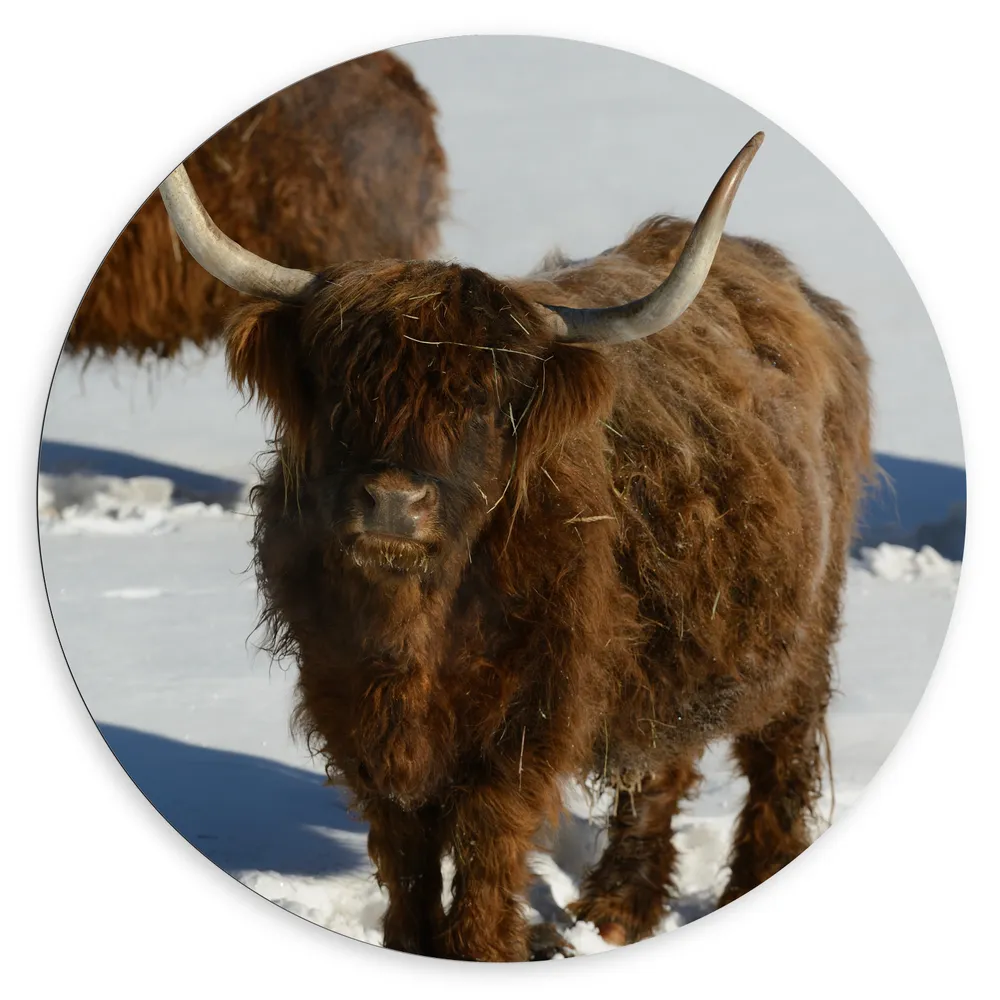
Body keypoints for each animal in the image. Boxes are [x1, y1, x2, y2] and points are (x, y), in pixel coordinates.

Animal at [158, 132, 873, 961]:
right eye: (340, 393)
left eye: (484, 404)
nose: (394, 502)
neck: (414, 635)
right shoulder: (355, 714)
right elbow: (405, 855)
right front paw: (412, 944)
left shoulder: (526, 727)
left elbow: (485, 847)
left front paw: (479, 949)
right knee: (658, 767)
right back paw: (616, 912)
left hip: (801, 634)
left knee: (777, 759)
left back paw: (741, 886)